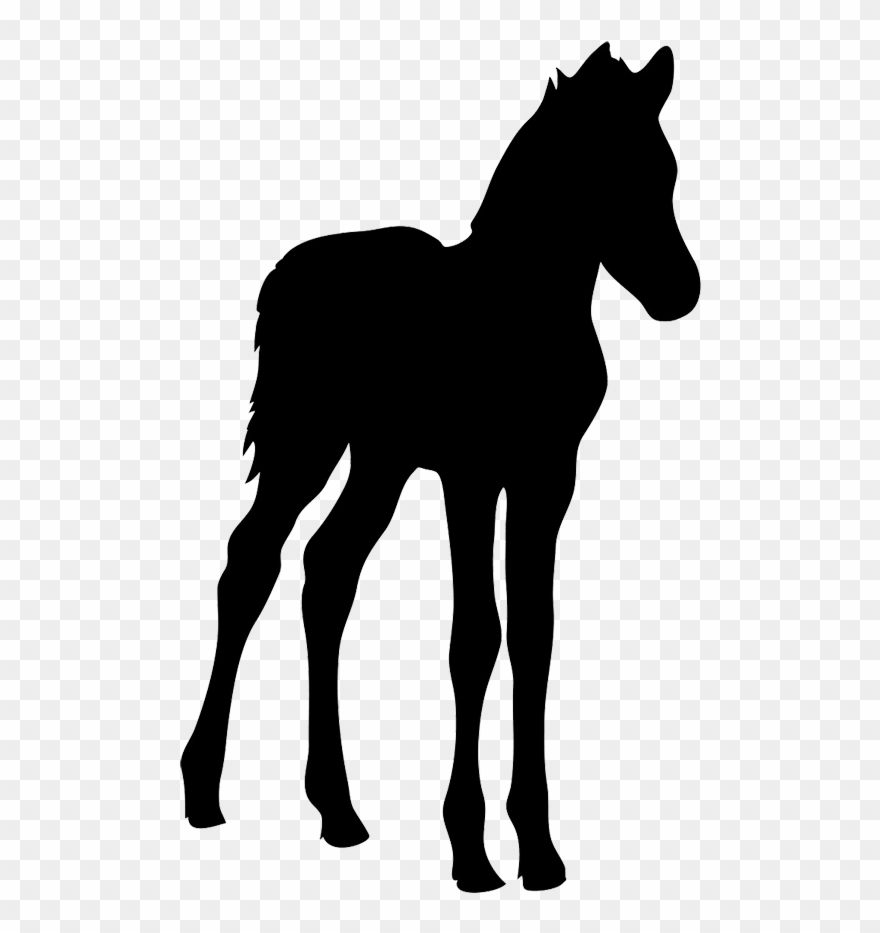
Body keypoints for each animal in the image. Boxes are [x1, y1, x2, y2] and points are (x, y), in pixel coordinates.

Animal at [181, 42, 700, 893]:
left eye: (665, 168)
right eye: (599, 165)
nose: (678, 291)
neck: (521, 309)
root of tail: (286, 275)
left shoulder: (546, 476)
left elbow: (533, 636)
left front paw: (540, 849)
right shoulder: (472, 472)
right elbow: (475, 637)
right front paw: (472, 850)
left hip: (379, 459)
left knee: (327, 569)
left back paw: (338, 809)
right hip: (307, 440)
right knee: (252, 560)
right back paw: (202, 787)